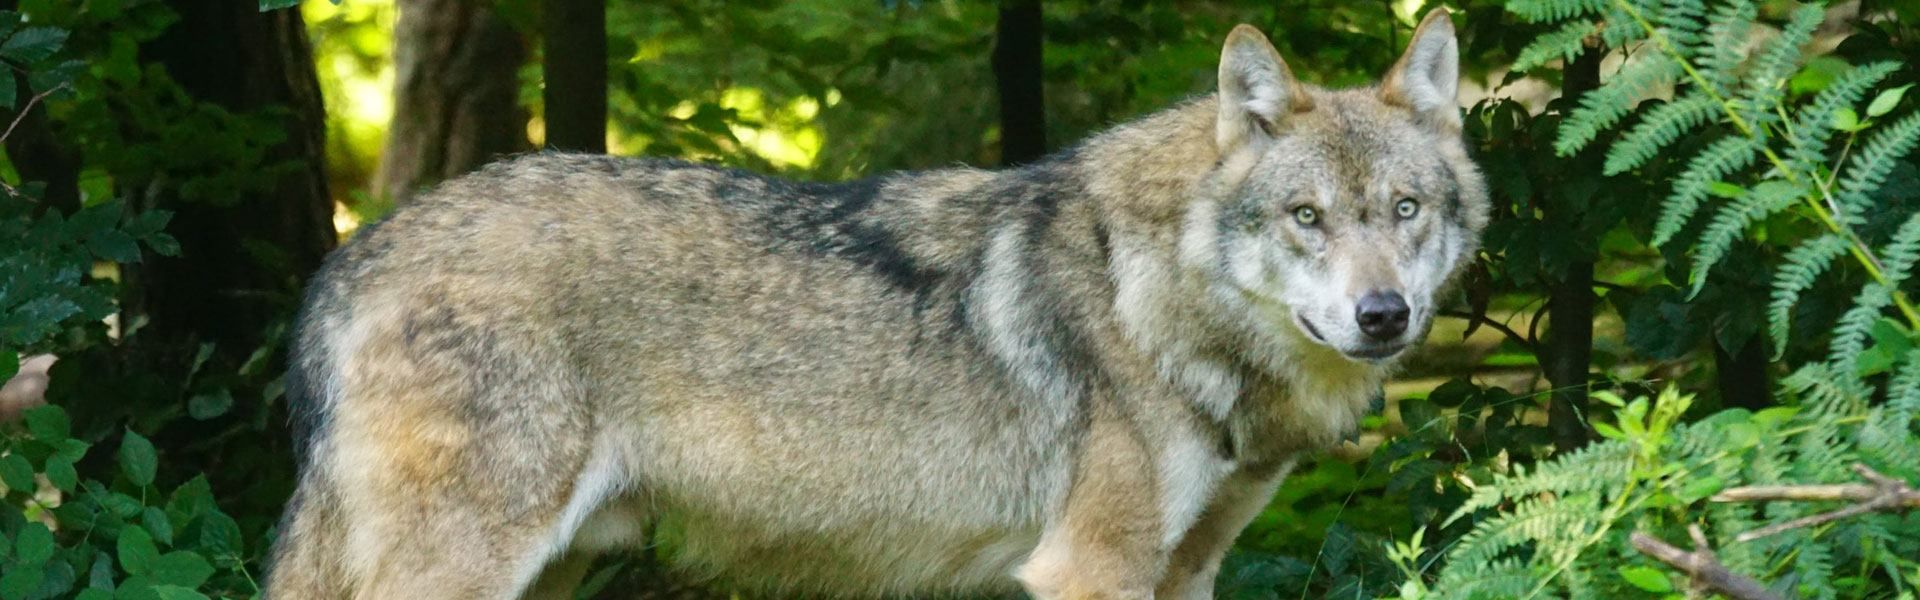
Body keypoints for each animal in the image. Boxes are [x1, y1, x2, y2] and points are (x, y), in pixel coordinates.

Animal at [265, 9, 1485, 599]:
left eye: (1406, 209)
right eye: (1308, 218)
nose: (1383, 316)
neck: (1155, 295)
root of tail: (353, 258)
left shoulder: (1189, 573)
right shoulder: (1089, 572)